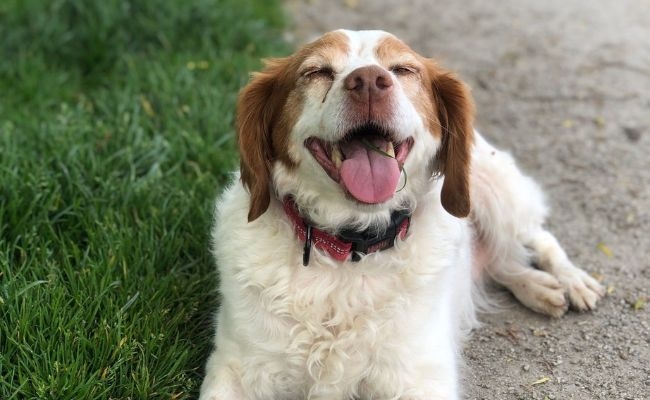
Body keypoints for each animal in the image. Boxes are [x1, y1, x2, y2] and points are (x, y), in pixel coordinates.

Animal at [200, 28, 604, 400]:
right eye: (317, 71)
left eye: (403, 69)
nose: (368, 81)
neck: (350, 251)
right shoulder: (235, 368)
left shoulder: (419, 377)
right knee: (499, 261)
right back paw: (537, 286)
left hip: (496, 192)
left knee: (537, 236)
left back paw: (572, 281)